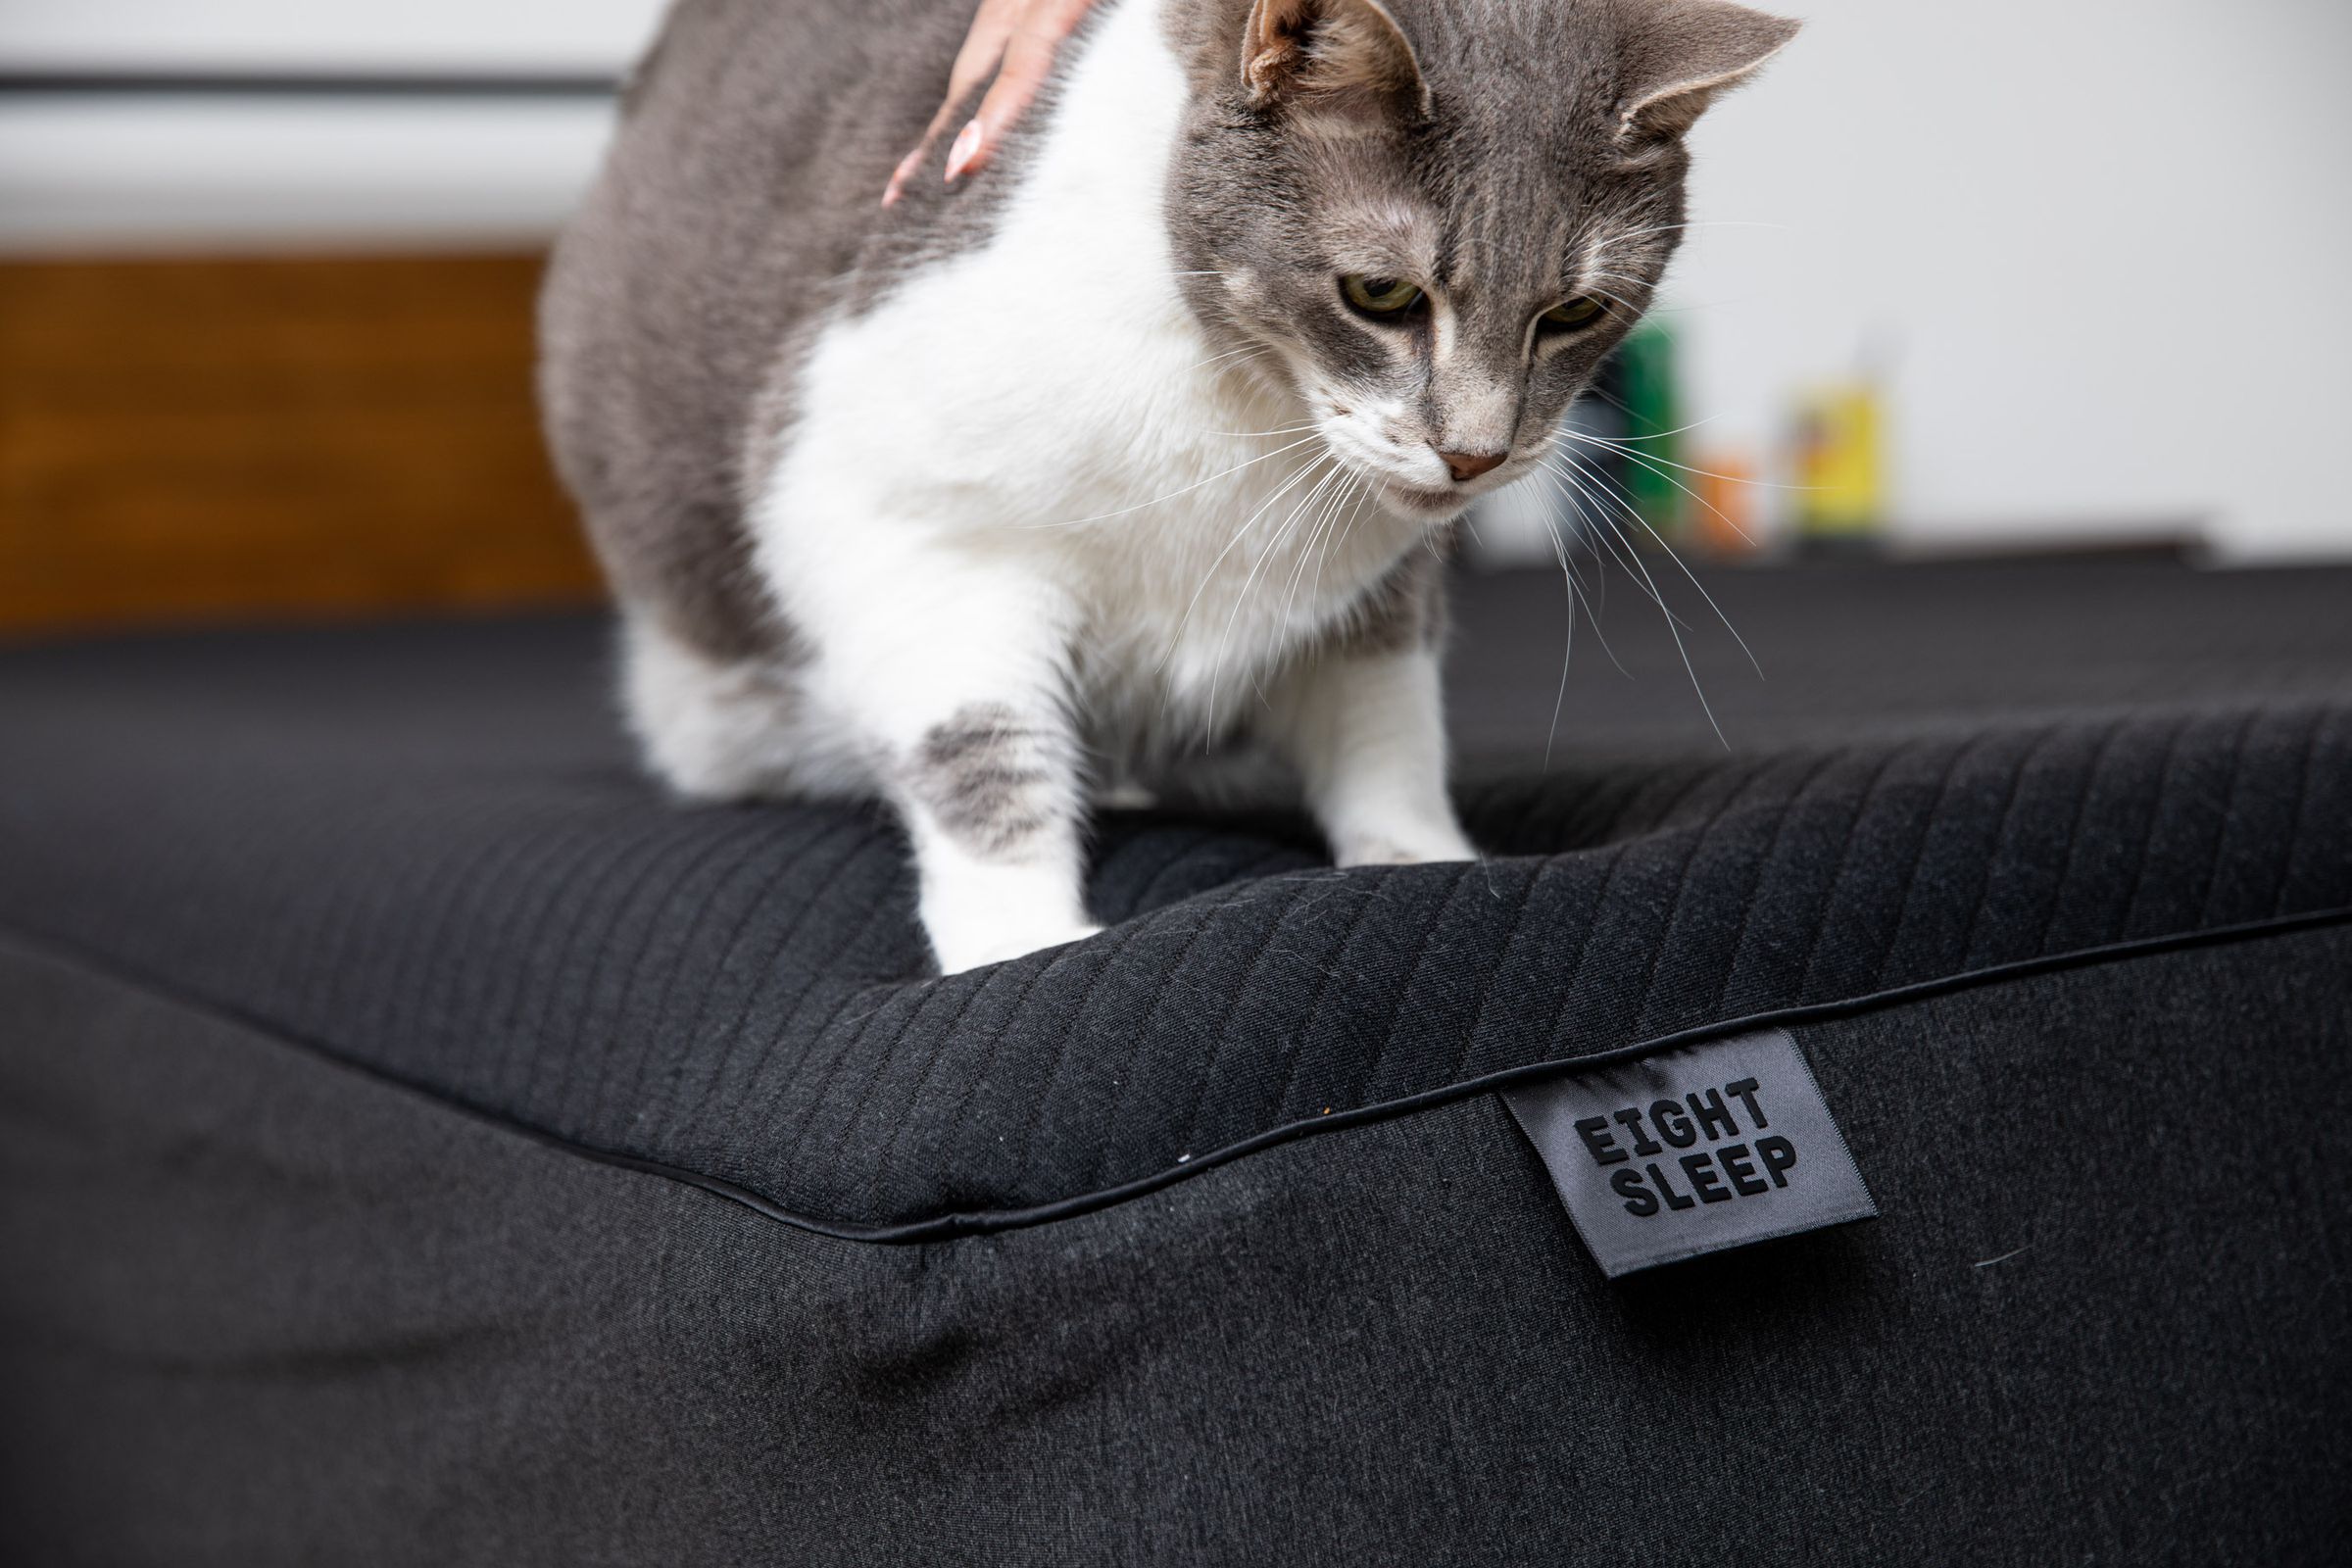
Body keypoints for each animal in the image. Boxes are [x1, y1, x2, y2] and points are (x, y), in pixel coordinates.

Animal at [545, 0, 1796, 973]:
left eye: (1575, 313)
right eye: (1381, 294)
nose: (1479, 454)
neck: (1252, 413)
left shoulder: (1372, 590)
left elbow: (1384, 723)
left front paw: (1416, 859)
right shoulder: (897, 523)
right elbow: (981, 750)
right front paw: (1021, 944)